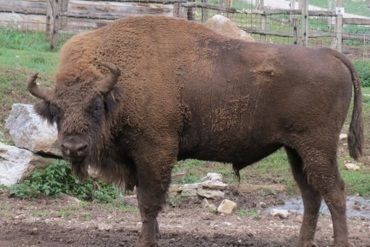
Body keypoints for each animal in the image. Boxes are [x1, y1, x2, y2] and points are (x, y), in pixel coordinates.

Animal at [27, 16, 362, 246]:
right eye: (55, 110)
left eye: (95, 106)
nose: (74, 148)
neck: (119, 90)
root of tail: (329, 53)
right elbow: (148, 203)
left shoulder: (155, 152)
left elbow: (149, 201)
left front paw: (146, 241)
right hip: (296, 151)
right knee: (311, 195)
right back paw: (303, 242)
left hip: (317, 148)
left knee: (334, 192)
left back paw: (339, 242)